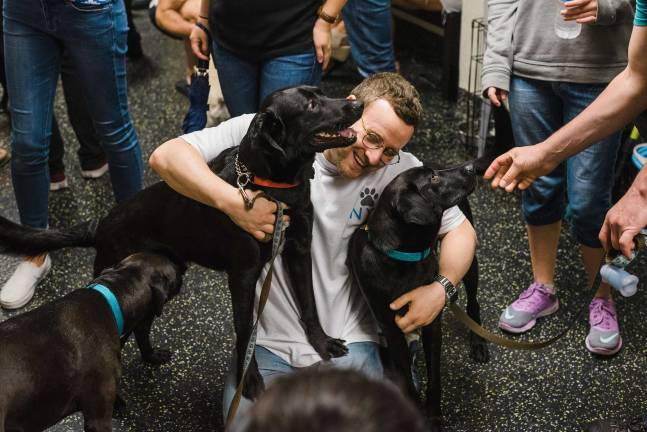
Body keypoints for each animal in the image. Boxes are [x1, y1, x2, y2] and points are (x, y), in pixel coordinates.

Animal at [0, 86, 360, 400]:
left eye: (322, 92)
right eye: (311, 105)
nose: (356, 104)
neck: (271, 185)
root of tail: (101, 223)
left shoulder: (299, 251)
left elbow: (309, 303)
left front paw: (321, 343)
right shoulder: (243, 276)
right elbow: (245, 332)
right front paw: (250, 380)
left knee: (142, 327)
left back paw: (151, 356)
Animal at [350, 162, 492, 432]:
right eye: (433, 178)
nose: (470, 166)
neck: (403, 256)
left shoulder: (431, 318)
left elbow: (434, 378)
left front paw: (433, 417)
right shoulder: (391, 329)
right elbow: (405, 376)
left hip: (469, 258)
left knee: (474, 302)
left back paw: (478, 342)